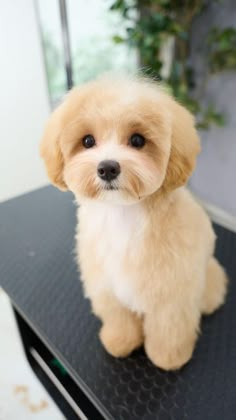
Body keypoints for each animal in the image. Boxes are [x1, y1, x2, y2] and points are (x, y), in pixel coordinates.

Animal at [39, 75, 228, 370]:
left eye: (138, 140)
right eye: (88, 140)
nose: (107, 168)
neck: (123, 215)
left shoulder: (172, 294)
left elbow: (169, 328)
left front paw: (168, 357)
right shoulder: (107, 285)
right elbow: (119, 318)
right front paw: (120, 342)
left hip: (206, 276)